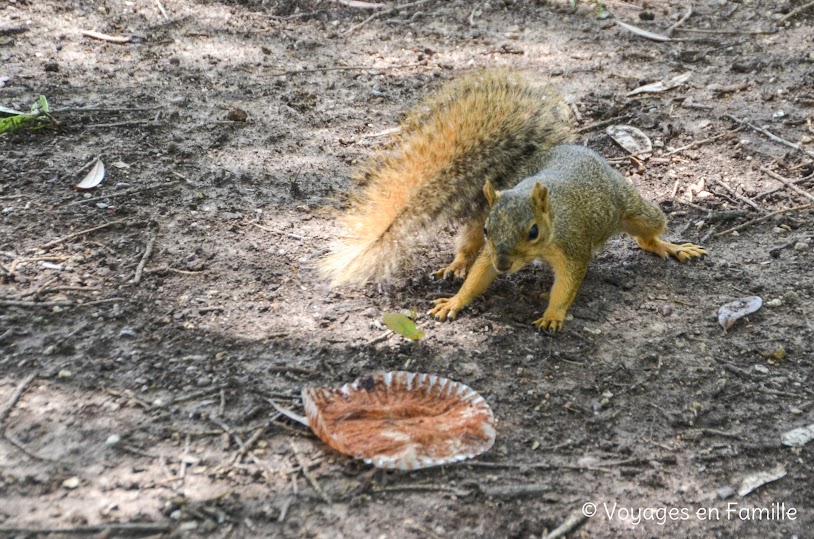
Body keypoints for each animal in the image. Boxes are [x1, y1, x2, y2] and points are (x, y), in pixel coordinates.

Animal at [324, 70, 708, 334]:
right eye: (489, 230)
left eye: (533, 231)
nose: (506, 265)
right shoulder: (491, 248)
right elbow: (480, 272)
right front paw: (456, 300)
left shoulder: (573, 247)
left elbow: (567, 284)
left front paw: (553, 314)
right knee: (467, 247)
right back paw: (456, 264)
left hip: (631, 204)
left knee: (647, 232)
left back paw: (672, 247)